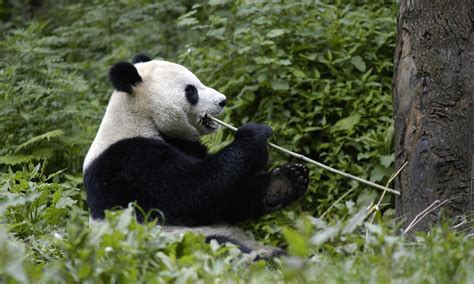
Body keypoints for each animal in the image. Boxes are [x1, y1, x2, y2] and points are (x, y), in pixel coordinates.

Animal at [83, 53, 310, 258]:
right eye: (191, 90)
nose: (223, 101)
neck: (141, 117)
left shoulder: (186, 145)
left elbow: (226, 201)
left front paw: (287, 180)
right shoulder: (128, 162)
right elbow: (190, 192)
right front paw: (254, 135)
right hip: (174, 241)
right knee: (221, 247)